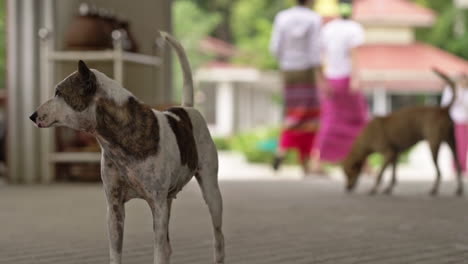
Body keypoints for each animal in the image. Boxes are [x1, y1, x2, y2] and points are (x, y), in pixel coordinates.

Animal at [29, 33, 225, 264]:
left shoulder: (157, 206)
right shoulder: (114, 208)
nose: (32, 115)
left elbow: (158, 250)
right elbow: (116, 252)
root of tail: (187, 108)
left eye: (59, 93)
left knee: (218, 237)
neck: (116, 141)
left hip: (211, 192)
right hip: (168, 200)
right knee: (168, 248)